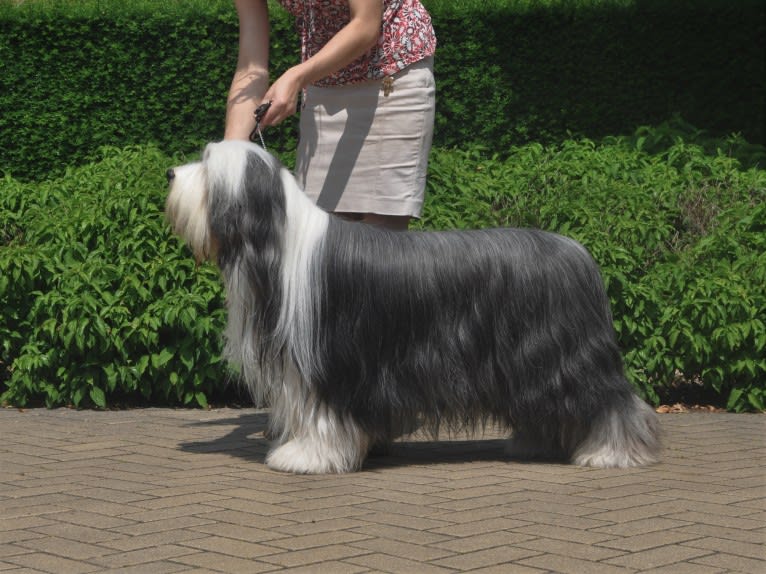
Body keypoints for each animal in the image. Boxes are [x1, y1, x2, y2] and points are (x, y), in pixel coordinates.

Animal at [165, 142, 664, 474]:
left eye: (208, 168)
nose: (169, 174)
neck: (279, 242)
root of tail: (577, 251)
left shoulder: (331, 362)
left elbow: (322, 414)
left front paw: (307, 455)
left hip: (563, 354)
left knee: (612, 399)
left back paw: (611, 451)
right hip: (528, 362)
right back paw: (535, 443)